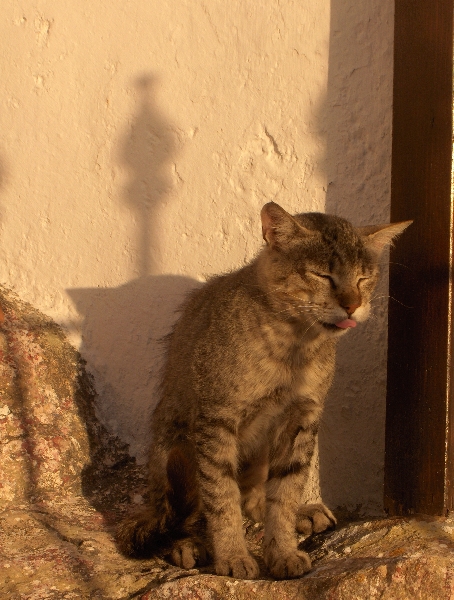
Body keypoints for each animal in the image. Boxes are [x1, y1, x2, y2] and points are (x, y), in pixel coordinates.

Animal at [116, 203, 412, 580]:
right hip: (173, 451)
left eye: (363, 279)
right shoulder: (217, 422)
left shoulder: (302, 418)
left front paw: (282, 549)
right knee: (170, 517)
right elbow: (222, 498)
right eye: (322, 276)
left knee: (254, 499)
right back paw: (186, 544)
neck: (294, 347)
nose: (352, 305)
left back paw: (303, 513)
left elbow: (284, 493)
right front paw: (232, 555)